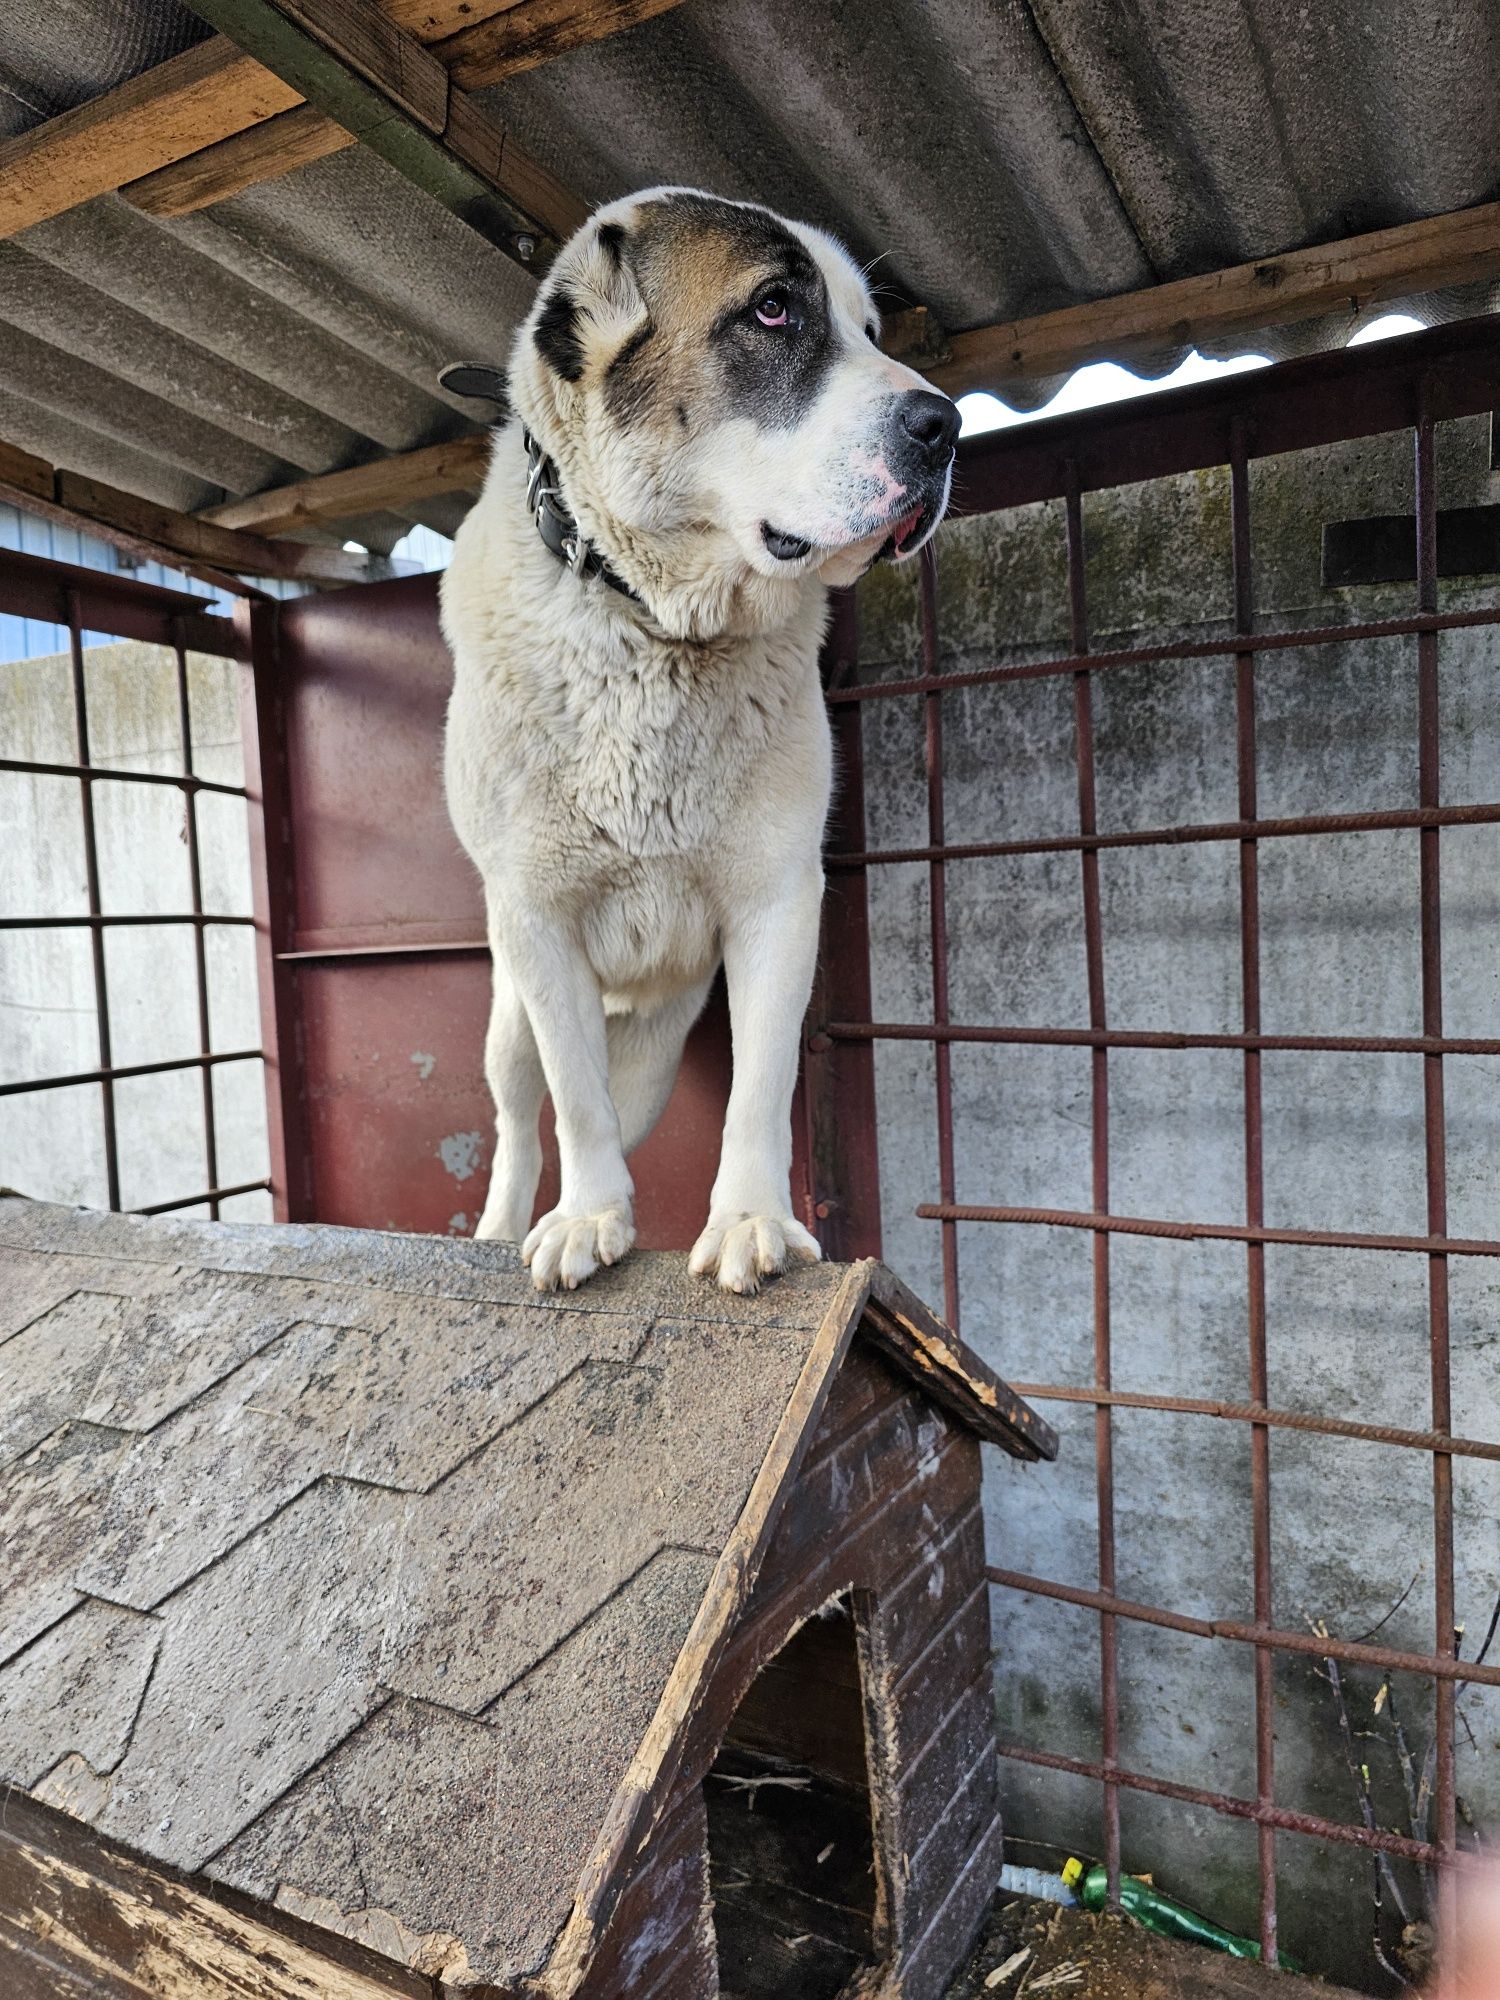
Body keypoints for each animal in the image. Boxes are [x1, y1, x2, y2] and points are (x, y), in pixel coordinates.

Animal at [444, 188, 964, 1296]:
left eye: (870, 330)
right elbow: (574, 1105)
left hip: (654, 1046)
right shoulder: (539, 920)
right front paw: (584, 1219)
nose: (947, 426)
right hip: (509, 1016)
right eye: (772, 308)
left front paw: (749, 1221)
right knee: (521, 1117)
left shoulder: (779, 902)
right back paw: (503, 1226)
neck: (660, 627)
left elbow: (758, 1088)